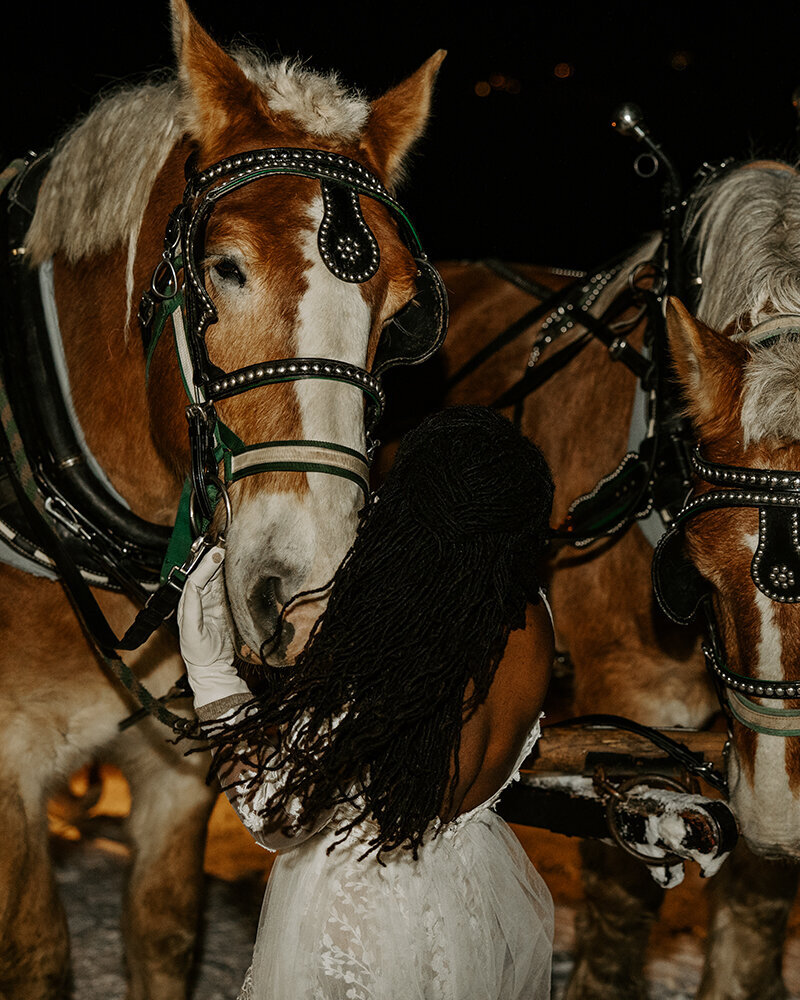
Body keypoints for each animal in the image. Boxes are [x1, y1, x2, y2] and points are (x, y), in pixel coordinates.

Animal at [1, 3, 444, 996]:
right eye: (227, 267)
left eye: (399, 309)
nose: (311, 600)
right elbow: (37, 955)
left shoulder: (175, 779)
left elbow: (165, 935)